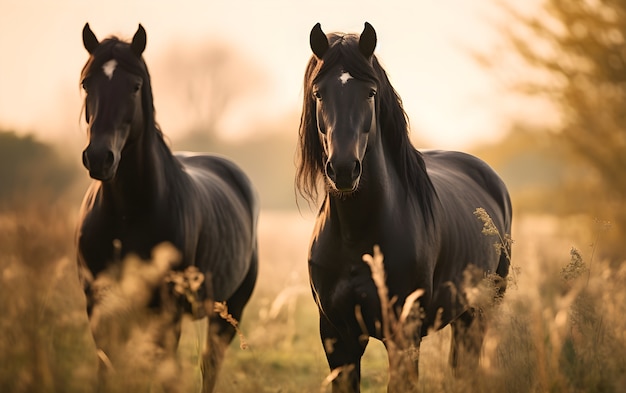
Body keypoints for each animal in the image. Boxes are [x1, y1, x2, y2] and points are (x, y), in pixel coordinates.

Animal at [76, 25, 258, 392]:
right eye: (87, 84)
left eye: (135, 86)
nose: (100, 157)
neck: (126, 214)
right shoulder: (99, 304)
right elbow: (108, 369)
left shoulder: (166, 309)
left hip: (229, 310)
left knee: (209, 365)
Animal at [294, 23, 510, 390]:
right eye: (319, 94)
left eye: (370, 93)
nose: (343, 169)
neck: (357, 235)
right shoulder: (337, 337)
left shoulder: (403, 334)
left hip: (481, 309)